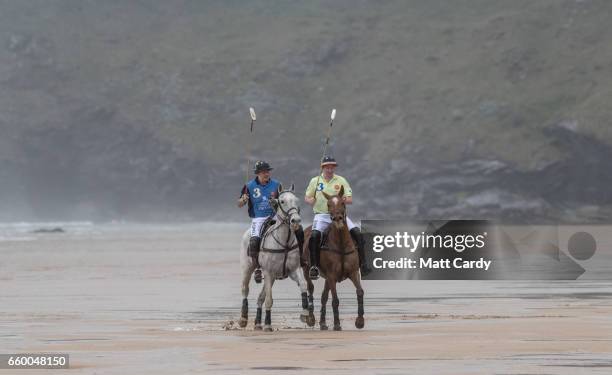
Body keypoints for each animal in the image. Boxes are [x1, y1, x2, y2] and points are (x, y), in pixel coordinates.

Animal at [239, 185, 316, 332]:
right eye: (282, 201)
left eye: (296, 200)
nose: (295, 221)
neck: (284, 242)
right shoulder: (268, 272)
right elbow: (269, 299)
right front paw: (268, 324)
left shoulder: (293, 269)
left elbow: (303, 285)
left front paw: (305, 314)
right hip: (247, 267)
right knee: (245, 289)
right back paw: (243, 319)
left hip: (273, 277)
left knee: (260, 297)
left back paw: (257, 323)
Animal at [302, 187, 364, 330]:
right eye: (328, 204)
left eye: (343, 202)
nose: (337, 219)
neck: (341, 244)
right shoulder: (332, 276)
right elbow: (335, 300)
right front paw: (337, 324)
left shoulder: (353, 272)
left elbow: (359, 292)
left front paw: (360, 321)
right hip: (307, 269)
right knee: (311, 288)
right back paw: (311, 318)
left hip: (326, 277)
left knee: (324, 296)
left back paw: (323, 323)